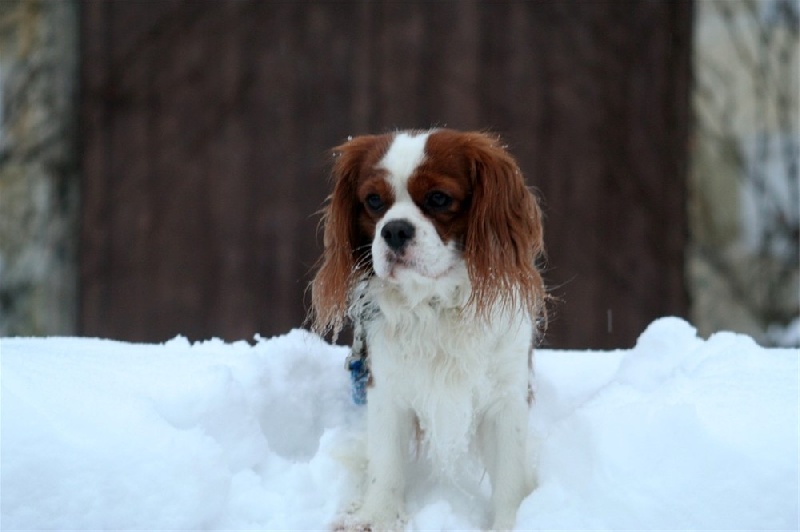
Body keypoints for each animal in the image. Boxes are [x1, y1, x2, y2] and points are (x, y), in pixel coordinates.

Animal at [310, 128, 548, 528]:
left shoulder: (506, 396)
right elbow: (386, 462)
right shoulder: (386, 388)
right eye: (373, 200)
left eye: (438, 198)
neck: (436, 303)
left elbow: (510, 475)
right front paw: (376, 517)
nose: (394, 230)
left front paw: (511, 523)